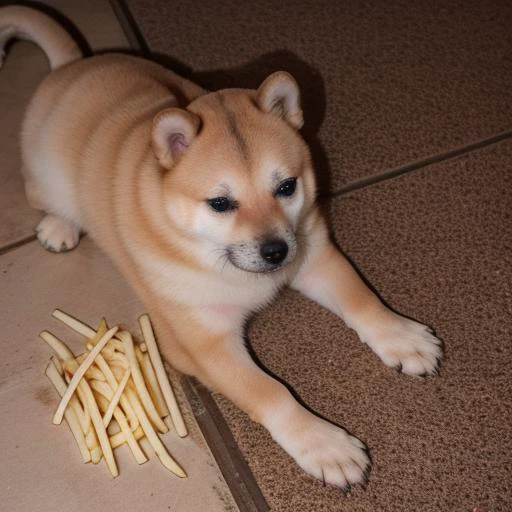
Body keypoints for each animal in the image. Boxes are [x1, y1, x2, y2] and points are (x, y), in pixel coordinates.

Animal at [0, 6, 442, 490]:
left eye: (287, 187)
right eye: (220, 204)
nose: (276, 253)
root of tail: (71, 66)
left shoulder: (315, 255)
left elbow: (359, 297)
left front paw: (399, 336)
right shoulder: (204, 343)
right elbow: (271, 392)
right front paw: (323, 444)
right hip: (45, 178)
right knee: (50, 202)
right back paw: (59, 227)